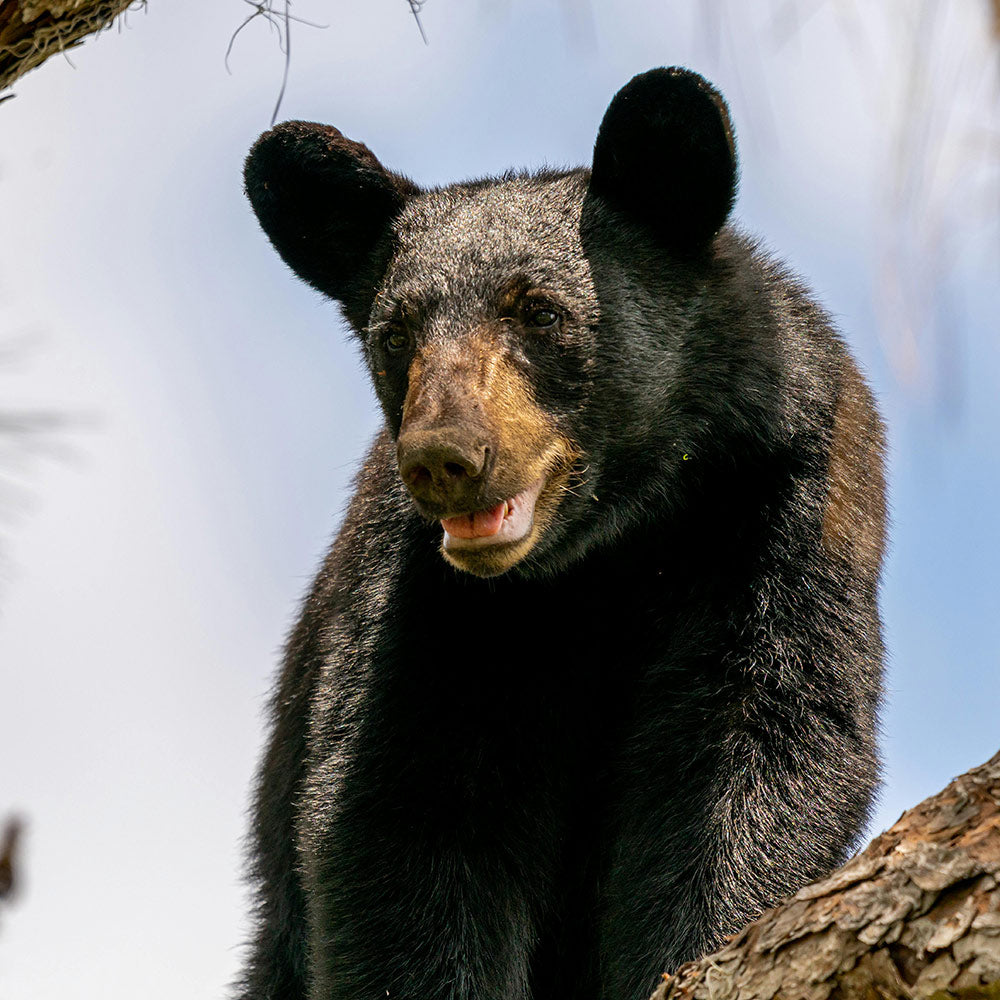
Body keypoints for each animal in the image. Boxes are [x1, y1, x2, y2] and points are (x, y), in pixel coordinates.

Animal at [238, 67, 886, 1000]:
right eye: (395, 333)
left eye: (539, 311)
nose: (445, 457)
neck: (608, 547)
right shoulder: (420, 595)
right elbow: (402, 818)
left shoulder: (780, 510)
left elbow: (757, 757)